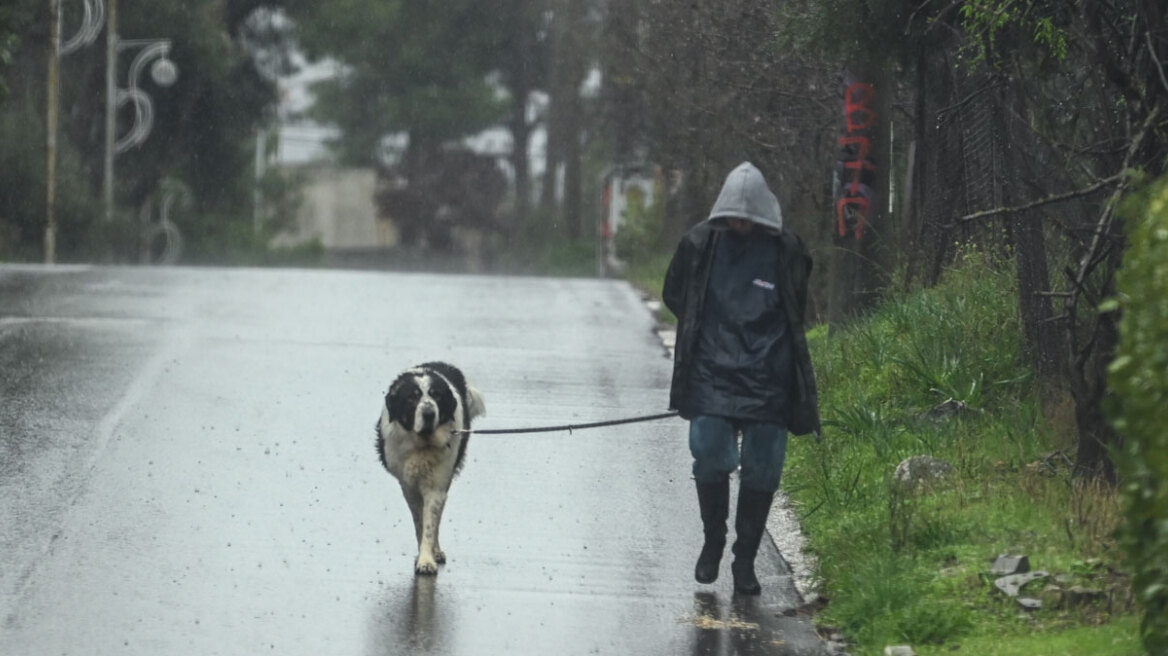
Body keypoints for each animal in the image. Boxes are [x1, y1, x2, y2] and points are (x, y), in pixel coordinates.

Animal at [373, 361, 483, 571]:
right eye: (412, 397)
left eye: (436, 395)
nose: (429, 413)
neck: (422, 445)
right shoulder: (408, 485)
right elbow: (419, 521)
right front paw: (423, 556)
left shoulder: (437, 484)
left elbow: (430, 524)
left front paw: (426, 560)